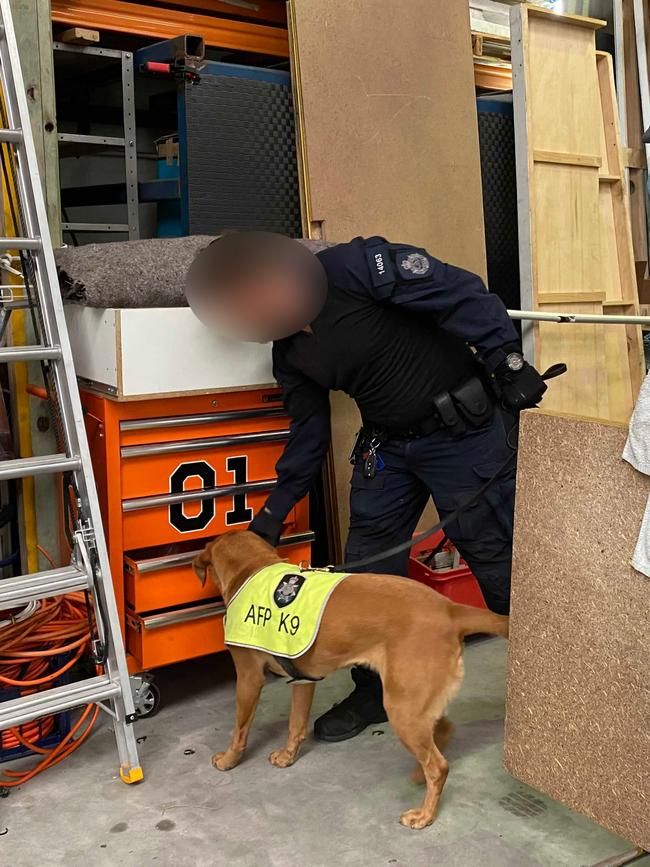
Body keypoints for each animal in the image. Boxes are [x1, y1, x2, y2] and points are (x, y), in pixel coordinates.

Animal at [192, 532, 506, 832]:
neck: (252, 567)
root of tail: (450, 610)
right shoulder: (302, 680)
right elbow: (296, 725)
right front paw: (287, 756)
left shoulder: (248, 678)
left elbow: (239, 731)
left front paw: (229, 760)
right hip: (418, 703)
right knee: (443, 735)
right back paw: (421, 775)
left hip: (402, 710)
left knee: (439, 767)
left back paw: (425, 814)